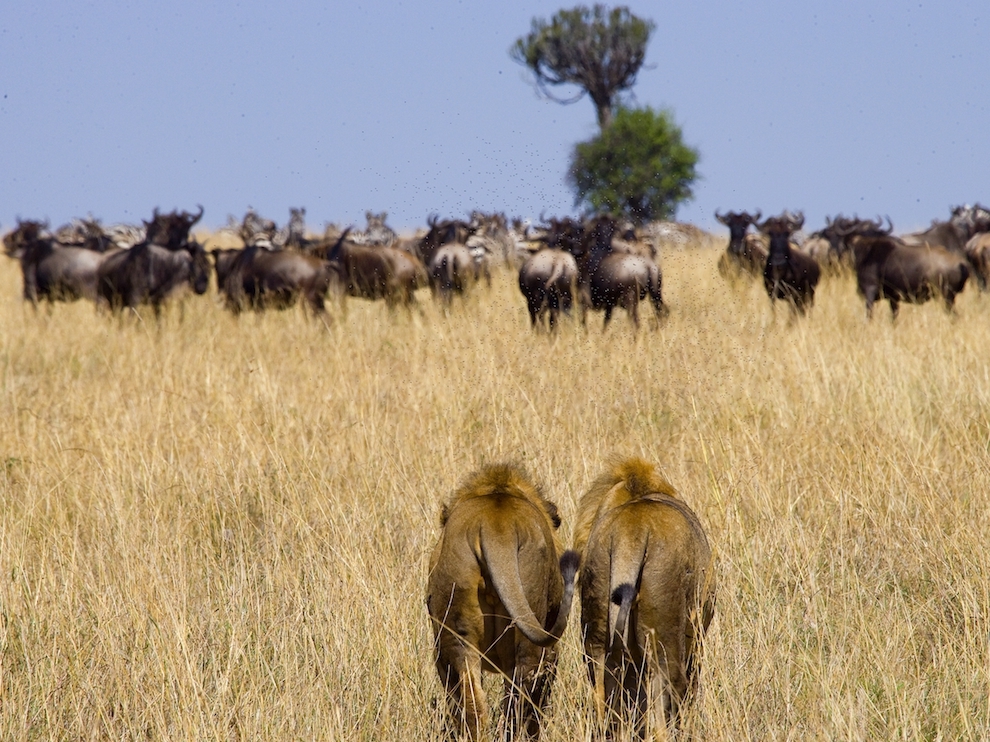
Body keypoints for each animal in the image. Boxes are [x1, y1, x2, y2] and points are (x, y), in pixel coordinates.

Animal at [426, 462, 580, 740]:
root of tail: (496, 528)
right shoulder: (552, 654)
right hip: (532, 644)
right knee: (519, 708)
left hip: (455, 635)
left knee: (473, 707)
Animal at [572, 462, 720, 740]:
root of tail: (632, 532)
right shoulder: (696, 640)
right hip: (665, 638)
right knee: (668, 703)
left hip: (597, 641)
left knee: (606, 705)